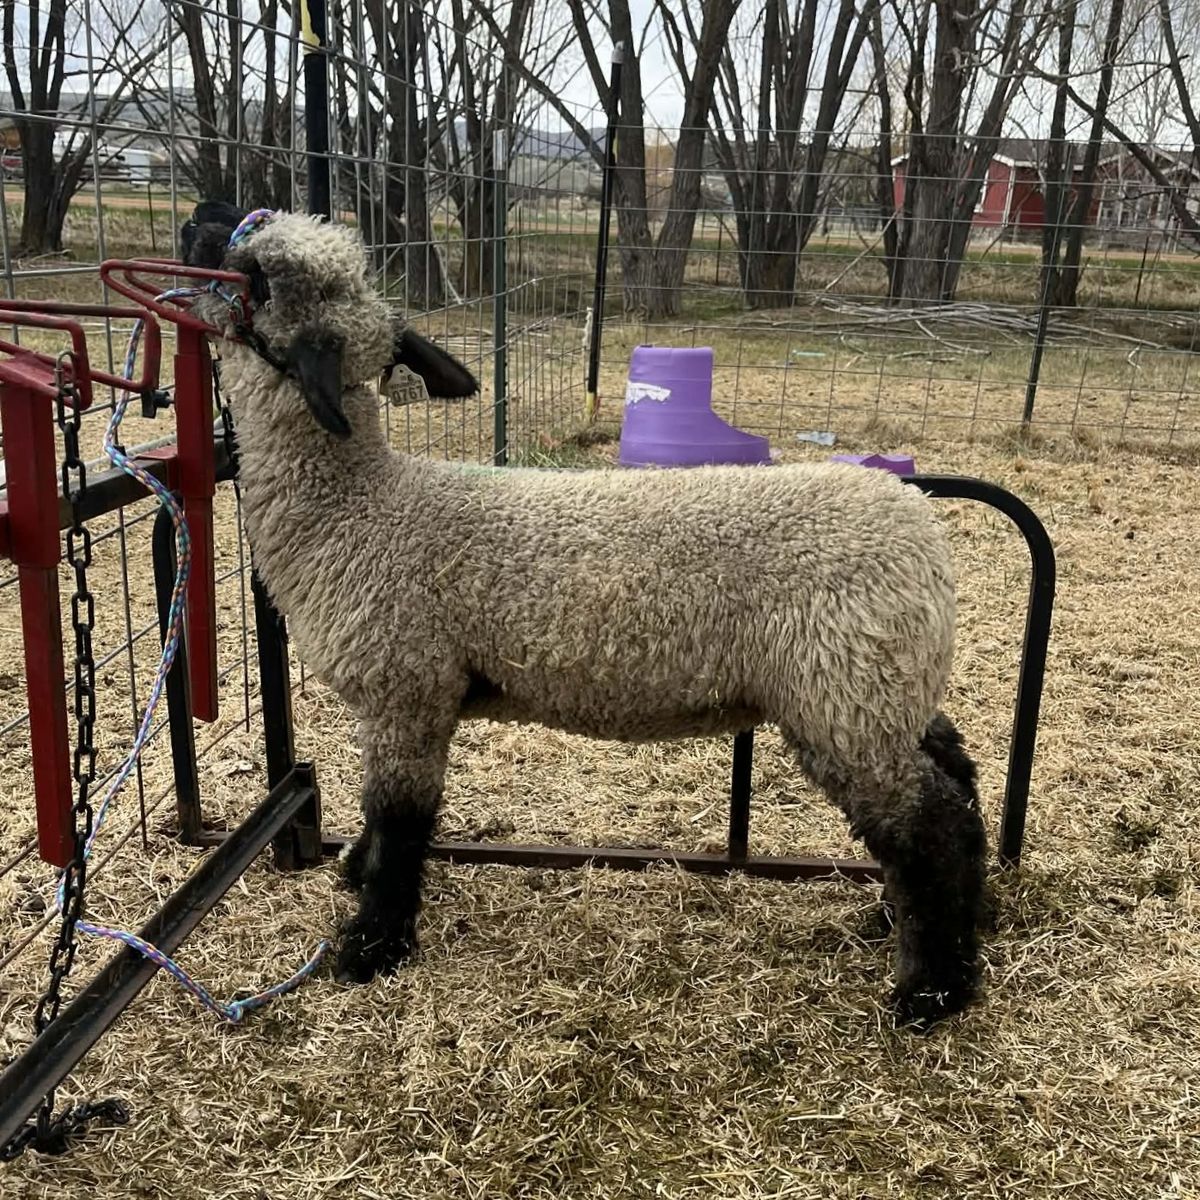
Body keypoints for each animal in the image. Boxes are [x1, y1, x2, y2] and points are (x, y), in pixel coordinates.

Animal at [192, 207, 987, 1031]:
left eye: (254, 276)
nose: (200, 221)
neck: (363, 508)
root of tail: (919, 527)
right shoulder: (404, 698)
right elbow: (381, 819)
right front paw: (356, 874)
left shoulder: (407, 688)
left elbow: (401, 819)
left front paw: (372, 946)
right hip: (881, 679)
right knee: (955, 773)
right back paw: (936, 920)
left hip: (843, 691)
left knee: (926, 827)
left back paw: (930, 990)